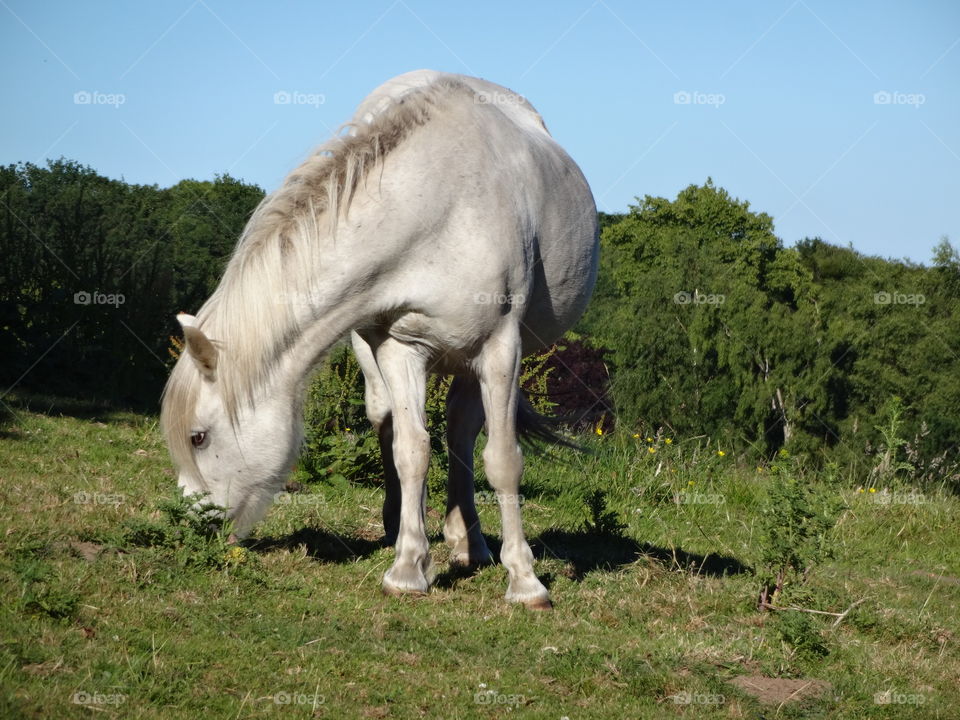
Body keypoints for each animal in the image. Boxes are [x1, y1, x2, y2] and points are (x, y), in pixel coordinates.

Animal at [163, 70, 600, 608]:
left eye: (198, 437)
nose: (189, 527)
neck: (439, 204)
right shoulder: (399, 346)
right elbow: (411, 450)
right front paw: (408, 567)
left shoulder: (500, 346)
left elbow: (502, 460)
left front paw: (525, 580)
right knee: (394, 421)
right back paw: (415, 530)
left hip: (477, 359)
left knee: (463, 429)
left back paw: (471, 544)